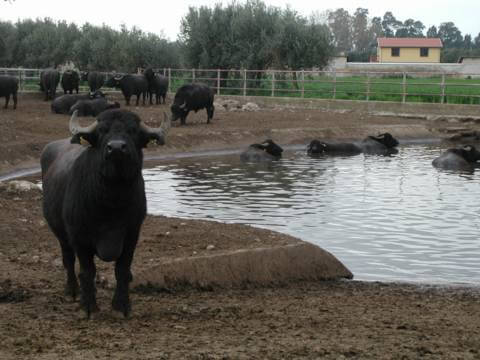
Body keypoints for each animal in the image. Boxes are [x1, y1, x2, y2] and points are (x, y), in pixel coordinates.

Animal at [40, 108, 171, 316]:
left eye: (133, 130)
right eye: (102, 130)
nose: (116, 147)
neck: (111, 204)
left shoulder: (131, 235)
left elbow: (122, 270)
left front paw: (121, 305)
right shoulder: (79, 238)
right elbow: (87, 271)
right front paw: (88, 307)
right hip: (60, 233)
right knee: (68, 259)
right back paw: (72, 291)